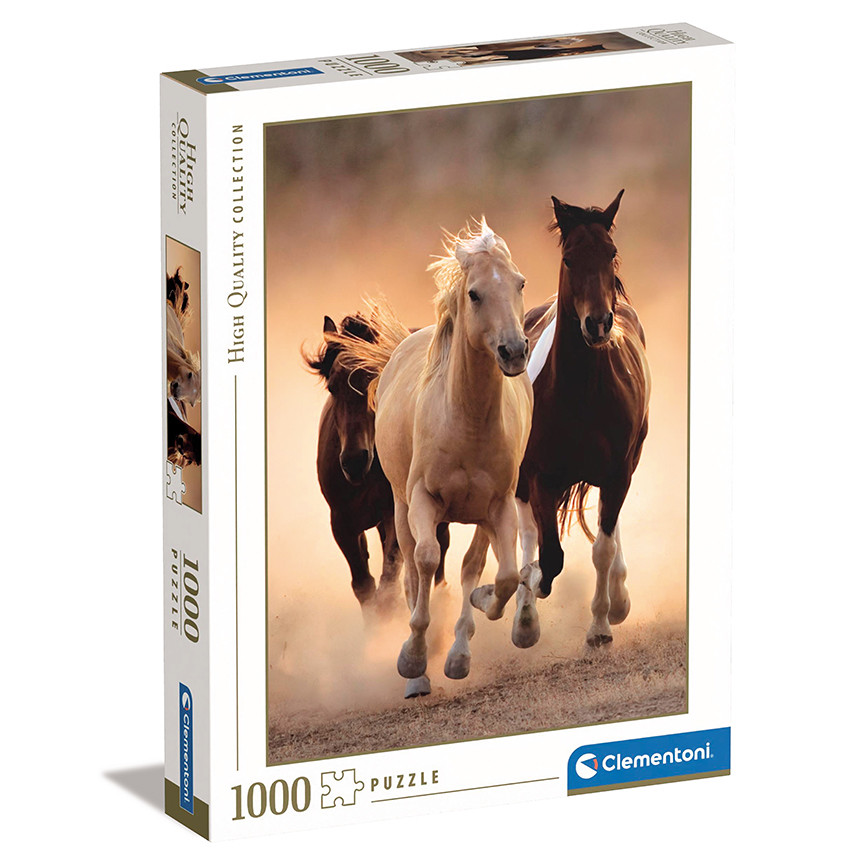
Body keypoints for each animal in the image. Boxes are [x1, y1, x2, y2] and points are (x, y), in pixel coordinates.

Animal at [305, 310, 450, 614]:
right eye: (332, 387)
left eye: (376, 378)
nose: (354, 461)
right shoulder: (342, 522)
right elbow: (364, 585)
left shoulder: (393, 514)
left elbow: (388, 583)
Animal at [334, 220, 532, 697]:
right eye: (475, 293)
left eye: (519, 283)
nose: (514, 351)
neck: (467, 421)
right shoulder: (422, 501)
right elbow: (424, 562)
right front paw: (413, 659)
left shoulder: (499, 505)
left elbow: (499, 575)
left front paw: (474, 623)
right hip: (401, 509)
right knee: (411, 570)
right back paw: (418, 671)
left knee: (471, 566)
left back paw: (458, 650)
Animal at [498, 190, 651, 650]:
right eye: (569, 258)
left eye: (611, 252)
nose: (598, 324)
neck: (583, 393)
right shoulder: (540, 477)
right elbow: (549, 555)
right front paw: (530, 597)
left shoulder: (618, 472)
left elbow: (601, 546)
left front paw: (602, 624)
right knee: (530, 535)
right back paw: (525, 616)